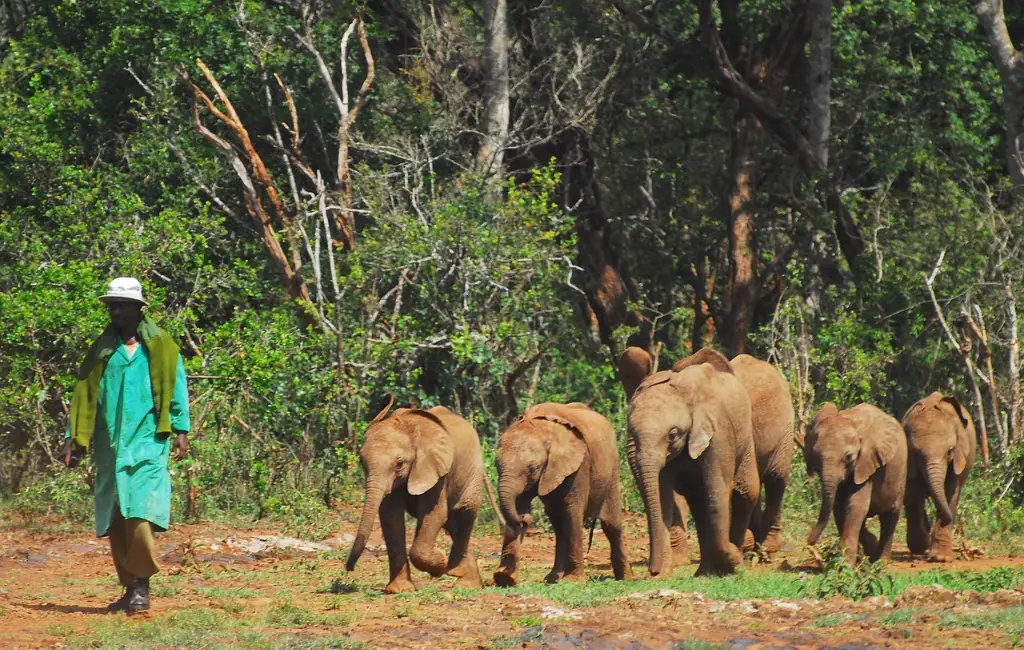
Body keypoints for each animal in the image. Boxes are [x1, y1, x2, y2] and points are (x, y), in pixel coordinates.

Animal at [345, 398, 483, 593]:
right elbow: (391, 517)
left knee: (465, 512)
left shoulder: (436, 468)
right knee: (451, 522)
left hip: (474, 469)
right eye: (362, 462)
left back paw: (460, 578)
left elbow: (434, 514)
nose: (349, 568)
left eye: (399, 464)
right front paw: (399, 590)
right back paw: (467, 582)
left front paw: (439, 563)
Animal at [492, 402, 632, 586]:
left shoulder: (580, 465)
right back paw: (553, 578)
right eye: (496, 465)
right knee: (559, 525)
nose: (526, 519)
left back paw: (626, 577)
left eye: (533, 469)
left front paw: (573, 581)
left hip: (612, 469)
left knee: (611, 525)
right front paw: (504, 578)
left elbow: (573, 510)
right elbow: (519, 504)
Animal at [627, 364, 759, 576]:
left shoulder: (719, 430)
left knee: (746, 491)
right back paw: (704, 572)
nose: (652, 571)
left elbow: (717, 489)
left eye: (672, 434)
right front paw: (663, 575)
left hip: (745, 434)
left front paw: (732, 562)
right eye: (632, 431)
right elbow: (662, 496)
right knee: (698, 501)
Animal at [804, 403, 908, 565]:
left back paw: (881, 561)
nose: (810, 543)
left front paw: (846, 565)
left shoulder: (866, 463)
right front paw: (858, 557)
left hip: (900, 474)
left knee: (890, 516)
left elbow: (856, 505)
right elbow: (840, 507)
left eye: (849, 457)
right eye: (815, 456)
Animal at [902, 392, 976, 562]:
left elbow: (951, 491)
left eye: (950, 451)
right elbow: (913, 492)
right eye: (916, 453)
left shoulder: (958, 458)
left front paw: (941, 558)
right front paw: (921, 546)